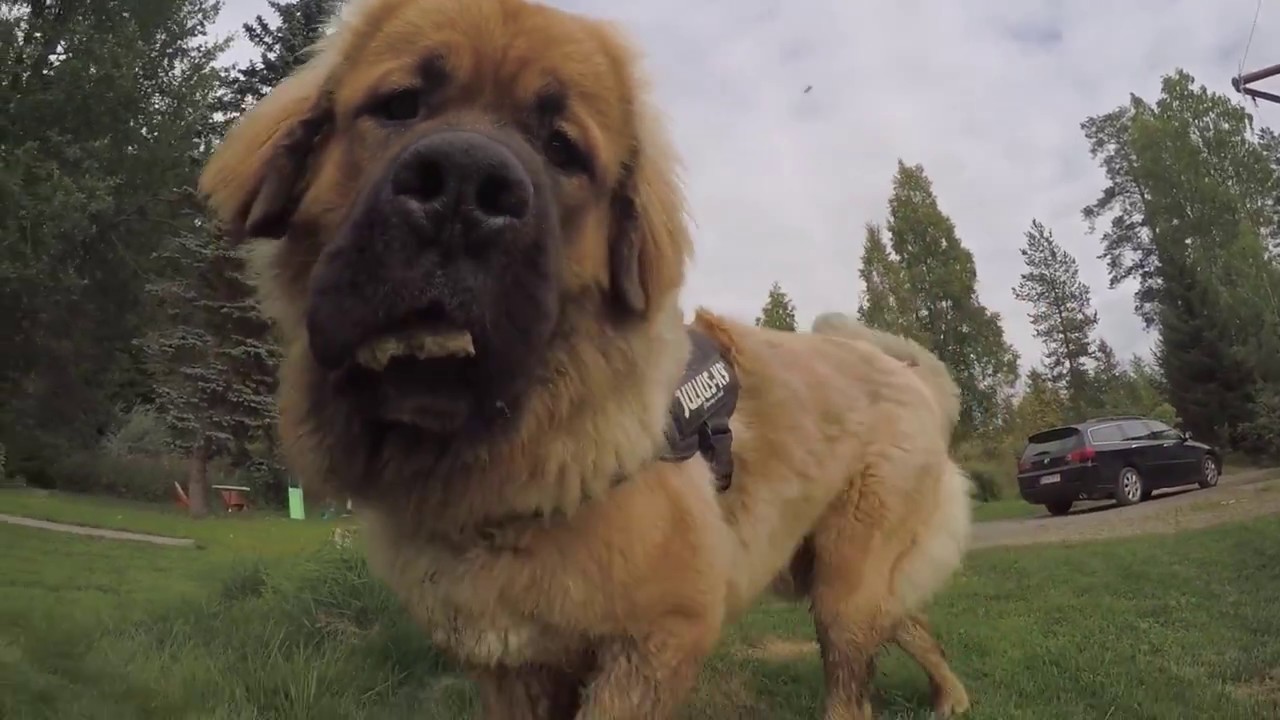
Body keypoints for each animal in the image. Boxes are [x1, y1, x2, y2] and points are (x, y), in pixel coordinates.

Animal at [202, 0, 967, 712]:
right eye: (400, 105)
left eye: (562, 148)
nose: (462, 189)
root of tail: (909, 377)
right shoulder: (512, 664)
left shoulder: (653, 641)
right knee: (910, 623)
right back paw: (951, 696)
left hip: (844, 584)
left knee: (854, 678)